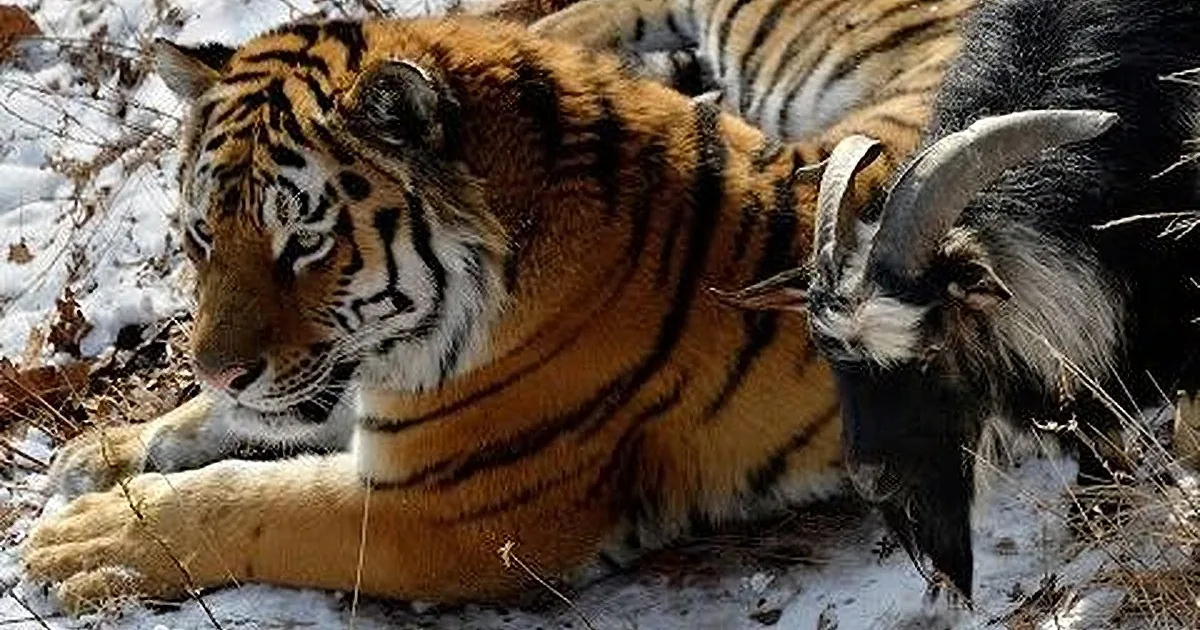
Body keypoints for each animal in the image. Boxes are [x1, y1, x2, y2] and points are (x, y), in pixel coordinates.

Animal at [23, 9, 959, 615]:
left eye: (306, 244)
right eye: (200, 237)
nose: (218, 369)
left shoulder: (442, 513)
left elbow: (246, 503)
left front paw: (90, 539)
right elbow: (231, 428)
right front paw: (101, 453)